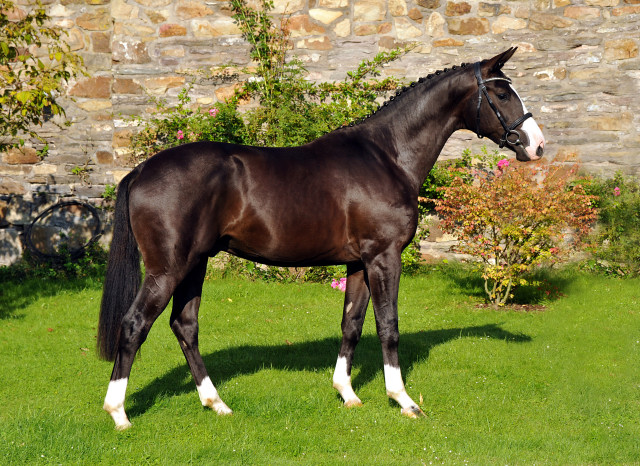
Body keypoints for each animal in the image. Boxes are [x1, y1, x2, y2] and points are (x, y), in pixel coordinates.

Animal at [99, 47, 544, 430]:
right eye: (501, 93)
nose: (537, 146)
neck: (387, 156)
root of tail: (140, 171)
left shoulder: (359, 262)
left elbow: (352, 324)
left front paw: (347, 394)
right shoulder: (384, 257)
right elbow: (388, 325)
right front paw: (403, 400)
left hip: (196, 263)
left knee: (185, 325)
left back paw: (217, 403)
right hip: (168, 268)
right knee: (135, 324)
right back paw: (119, 414)